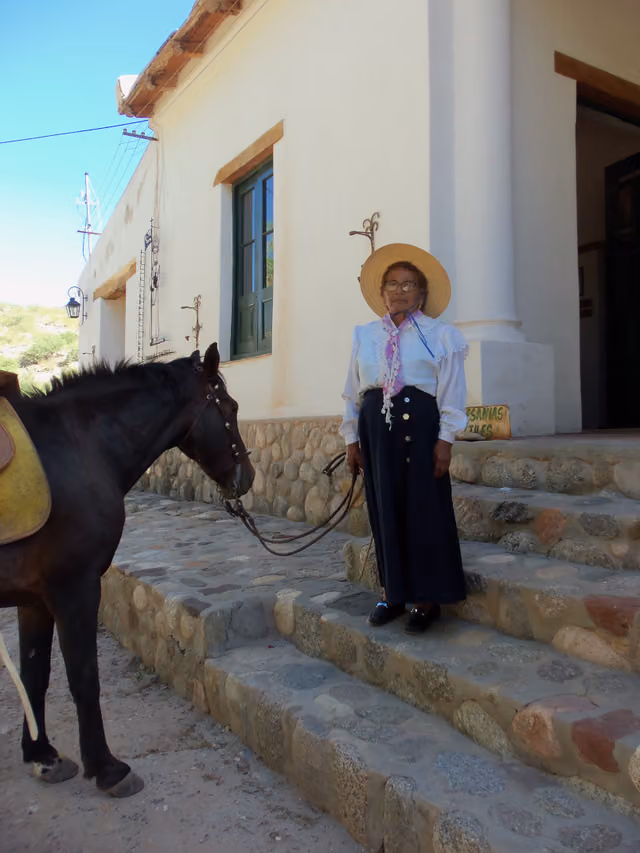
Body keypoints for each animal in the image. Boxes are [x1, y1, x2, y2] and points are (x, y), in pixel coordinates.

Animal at [0, 343, 254, 797]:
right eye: (231, 407)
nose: (248, 477)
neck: (73, 446)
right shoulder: (75, 588)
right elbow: (84, 676)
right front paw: (106, 768)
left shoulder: (35, 599)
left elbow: (35, 673)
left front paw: (42, 754)